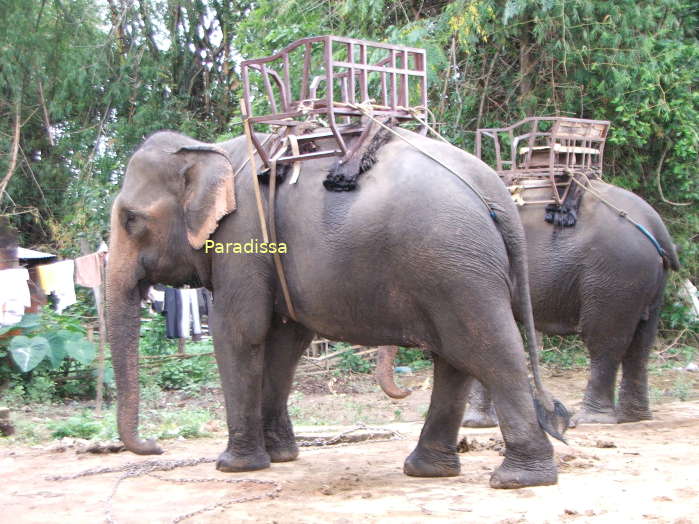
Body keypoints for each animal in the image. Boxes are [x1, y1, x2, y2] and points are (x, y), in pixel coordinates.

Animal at [106, 126, 572, 488]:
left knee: (488, 349)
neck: (209, 150)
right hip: (457, 269)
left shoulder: (242, 237)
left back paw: (518, 479)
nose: (154, 445)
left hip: (454, 264)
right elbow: (285, 340)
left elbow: (239, 331)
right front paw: (281, 456)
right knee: (456, 356)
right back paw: (429, 470)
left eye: (131, 219)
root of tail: (496, 192)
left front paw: (234, 466)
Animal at [374, 178, 680, 428]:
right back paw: (634, 417)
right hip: (644, 279)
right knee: (641, 341)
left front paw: (472, 423)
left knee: (605, 340)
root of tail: (656, 226)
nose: (408, 390)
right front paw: (478, 423)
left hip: (616, 274)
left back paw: (592, 421)